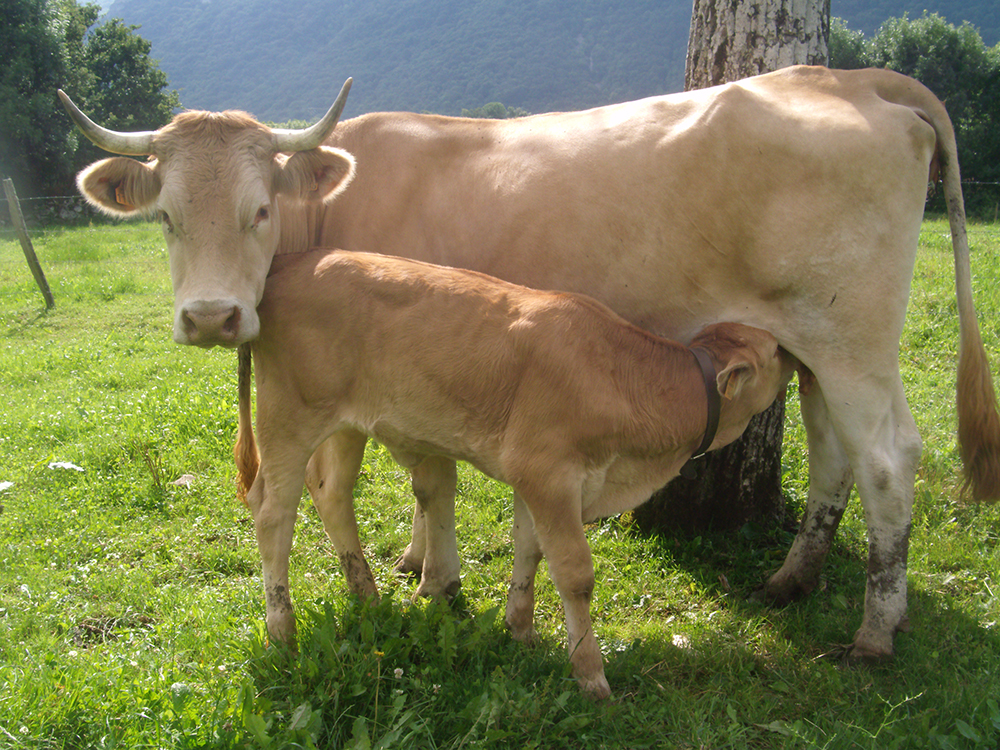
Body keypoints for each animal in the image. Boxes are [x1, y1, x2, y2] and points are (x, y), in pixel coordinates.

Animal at [232, 250, 796, 704]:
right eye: (775, 352)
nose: (796, 355)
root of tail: (290, 265)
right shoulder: (548, 472)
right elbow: (575, 574)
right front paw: (590, 674)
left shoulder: (539, 480)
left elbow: (530, 550)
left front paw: (520, 629)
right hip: (288, 416)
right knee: (273, 515)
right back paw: (282, 631)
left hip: (347, 423)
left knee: (331, 492)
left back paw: (367, 595)